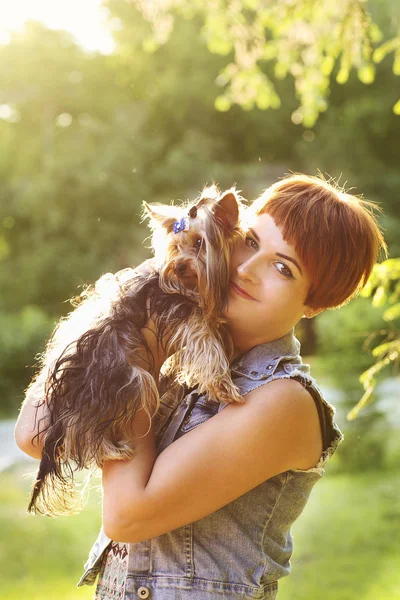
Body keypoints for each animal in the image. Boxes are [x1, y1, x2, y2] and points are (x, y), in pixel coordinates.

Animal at [27, 184, 244, 516]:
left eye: (199, 243)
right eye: (176, 246)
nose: (179, 266)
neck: (194, 287)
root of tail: (65, 389)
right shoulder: (185, 315)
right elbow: (208, 348)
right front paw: (225, 386)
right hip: (121, 379)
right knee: (82, 429)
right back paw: (113, 451)